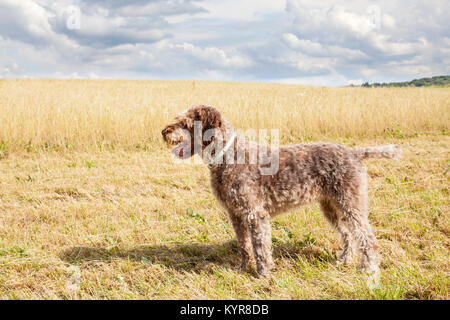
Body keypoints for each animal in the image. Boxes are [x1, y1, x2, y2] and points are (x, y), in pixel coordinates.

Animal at [162, 105, 400, 278]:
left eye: (184, 123)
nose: (164, 131)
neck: (229, 157)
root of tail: (354, 152)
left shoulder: (255, 214)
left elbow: (260, 246)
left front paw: (263, 274)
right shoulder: (236, 215)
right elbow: (244, 246)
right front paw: (242, 269)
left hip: (351, 204)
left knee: (367, 237)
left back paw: (369, 267)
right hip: (331, 207)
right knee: (348, 234)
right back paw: (344, 260)